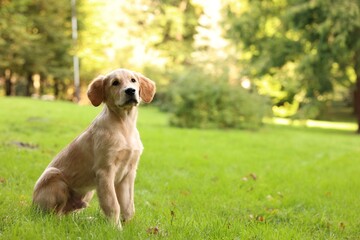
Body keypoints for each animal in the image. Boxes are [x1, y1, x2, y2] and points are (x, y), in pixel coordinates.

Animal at [33, 68, 156, 229]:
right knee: (53, 215)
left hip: (89, 190)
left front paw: (129, 228)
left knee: (68, 213)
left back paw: (86, 220)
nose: (130, 90)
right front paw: (116, 229)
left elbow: (128, 206)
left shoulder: (129, 172)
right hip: (56, 177)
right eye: (115, 83)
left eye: (133, 80)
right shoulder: (105, 172)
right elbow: (113, 204)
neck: (124, 125)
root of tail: (32, 205)